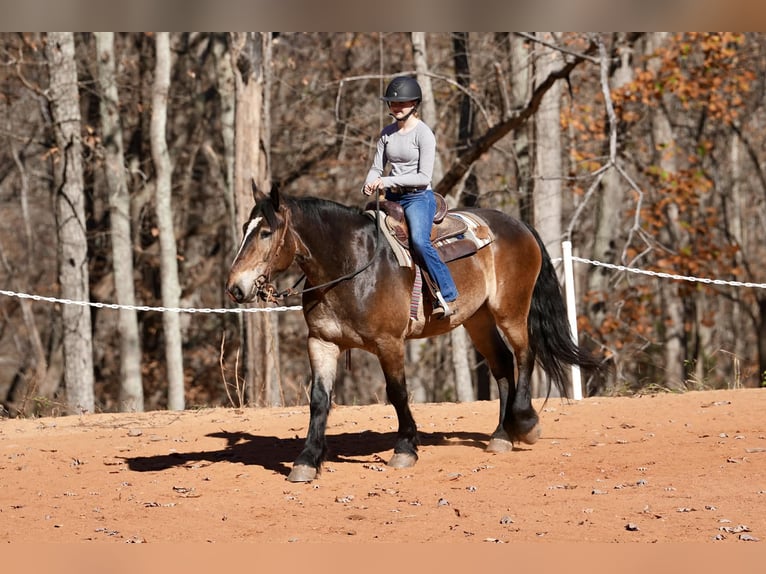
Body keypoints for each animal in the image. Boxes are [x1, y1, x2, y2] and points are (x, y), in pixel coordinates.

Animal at [227, 183, 602, 482]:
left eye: (265, 233)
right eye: (244, 229)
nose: (235, 288)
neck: (351, 267)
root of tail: (518, 224)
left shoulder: (389, 343)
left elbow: (398, 393)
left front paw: (405, 448)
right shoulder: (321, 342)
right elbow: (319, 399)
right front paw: (306, 460)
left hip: (510, 310)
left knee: (524, 356)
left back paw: (525, 424)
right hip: (478, 319)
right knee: (502, 366)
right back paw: (500, 436)